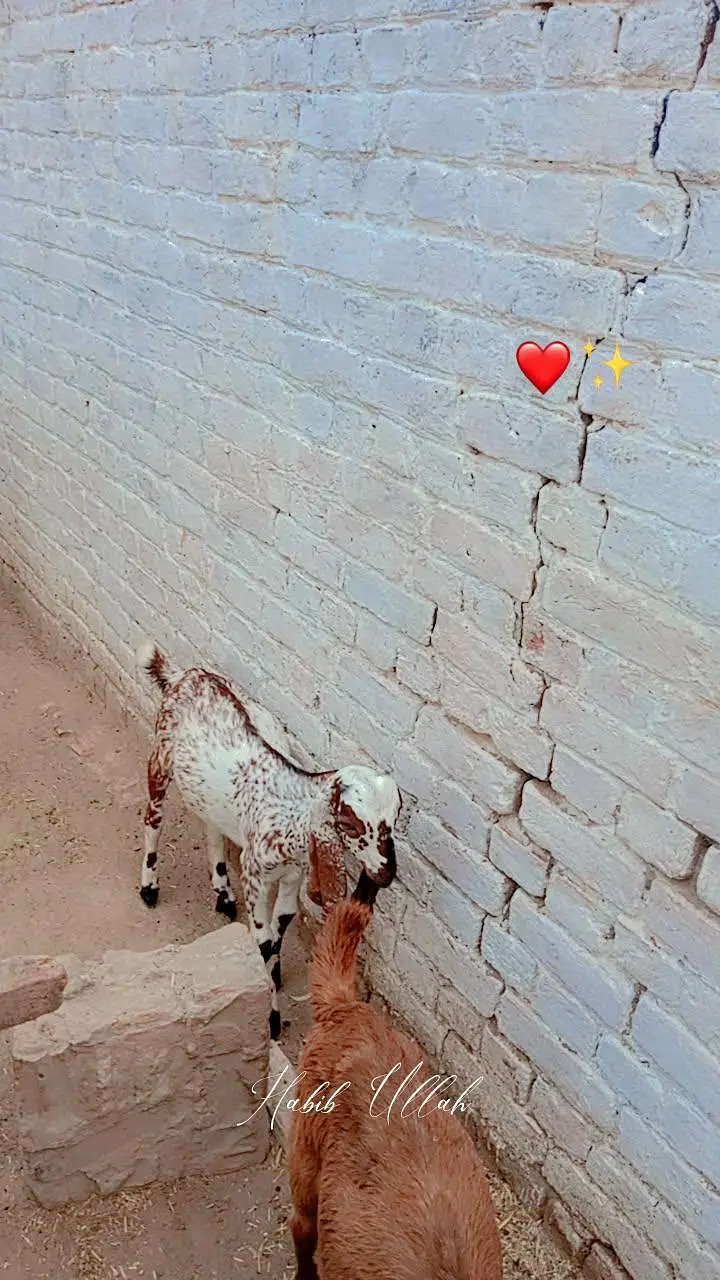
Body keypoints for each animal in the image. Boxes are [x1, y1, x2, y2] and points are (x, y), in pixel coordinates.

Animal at [135, 641, 401, 1039]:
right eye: (350, 824)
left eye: (395, 818)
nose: (385, 874)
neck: (292, 812)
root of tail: (186, 674)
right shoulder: (255, 874)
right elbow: (262, 942)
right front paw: (271, 1017)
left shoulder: (292, 875)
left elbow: (281, 928)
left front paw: (273, 979)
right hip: (160, 757)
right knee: (153, 818)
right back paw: (149, 887)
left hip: (210, 795)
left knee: (212, 829)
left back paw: (223, 893)